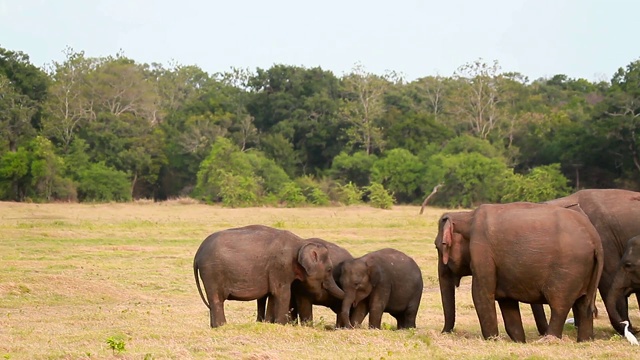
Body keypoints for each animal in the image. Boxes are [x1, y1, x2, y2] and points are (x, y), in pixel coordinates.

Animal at [194, 226, 344, 328]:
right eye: (329, 269)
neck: (301, 242)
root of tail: (197, 254)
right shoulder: (281, 266)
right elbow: (282, 293)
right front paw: (282, 325)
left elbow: (273, 294)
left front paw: (269, 323)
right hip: (212, 271)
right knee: (216, 298)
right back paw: (222, 326)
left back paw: (214, 326)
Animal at [432, 202, 604, 344]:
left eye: (438, 247)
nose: (443, 332)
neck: (467, 216)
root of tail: (595, 238)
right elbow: (507, 302)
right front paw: (519, 341)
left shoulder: (482, 254)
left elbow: (481, 295)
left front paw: (493, 340)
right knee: (584, 304)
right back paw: (585, 341)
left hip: (568, 269)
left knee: (559, 306)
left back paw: (548, 341)